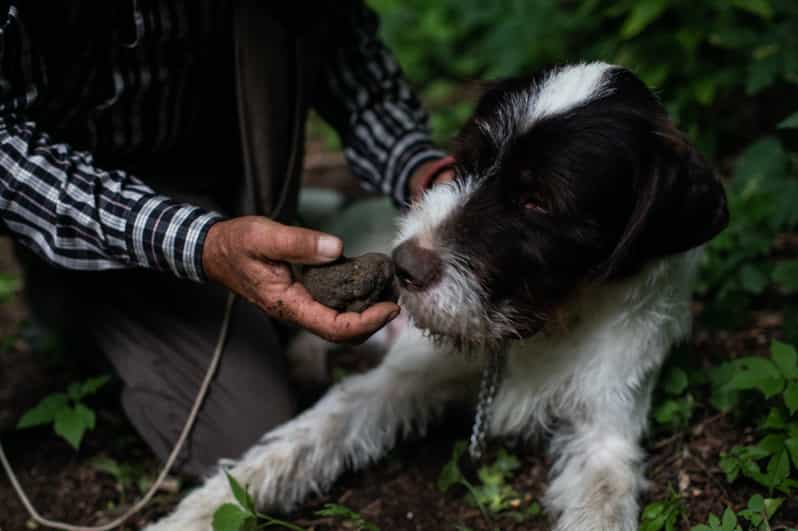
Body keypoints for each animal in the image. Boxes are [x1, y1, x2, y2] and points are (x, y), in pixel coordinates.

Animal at [147, 63, 728, 531]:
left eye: (538, 201)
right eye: (465, 163)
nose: (403, 266)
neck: (544, 322)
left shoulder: (607, 429)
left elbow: (603, 502)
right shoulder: (398, 380)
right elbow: (302, 441)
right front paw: (199, 512)